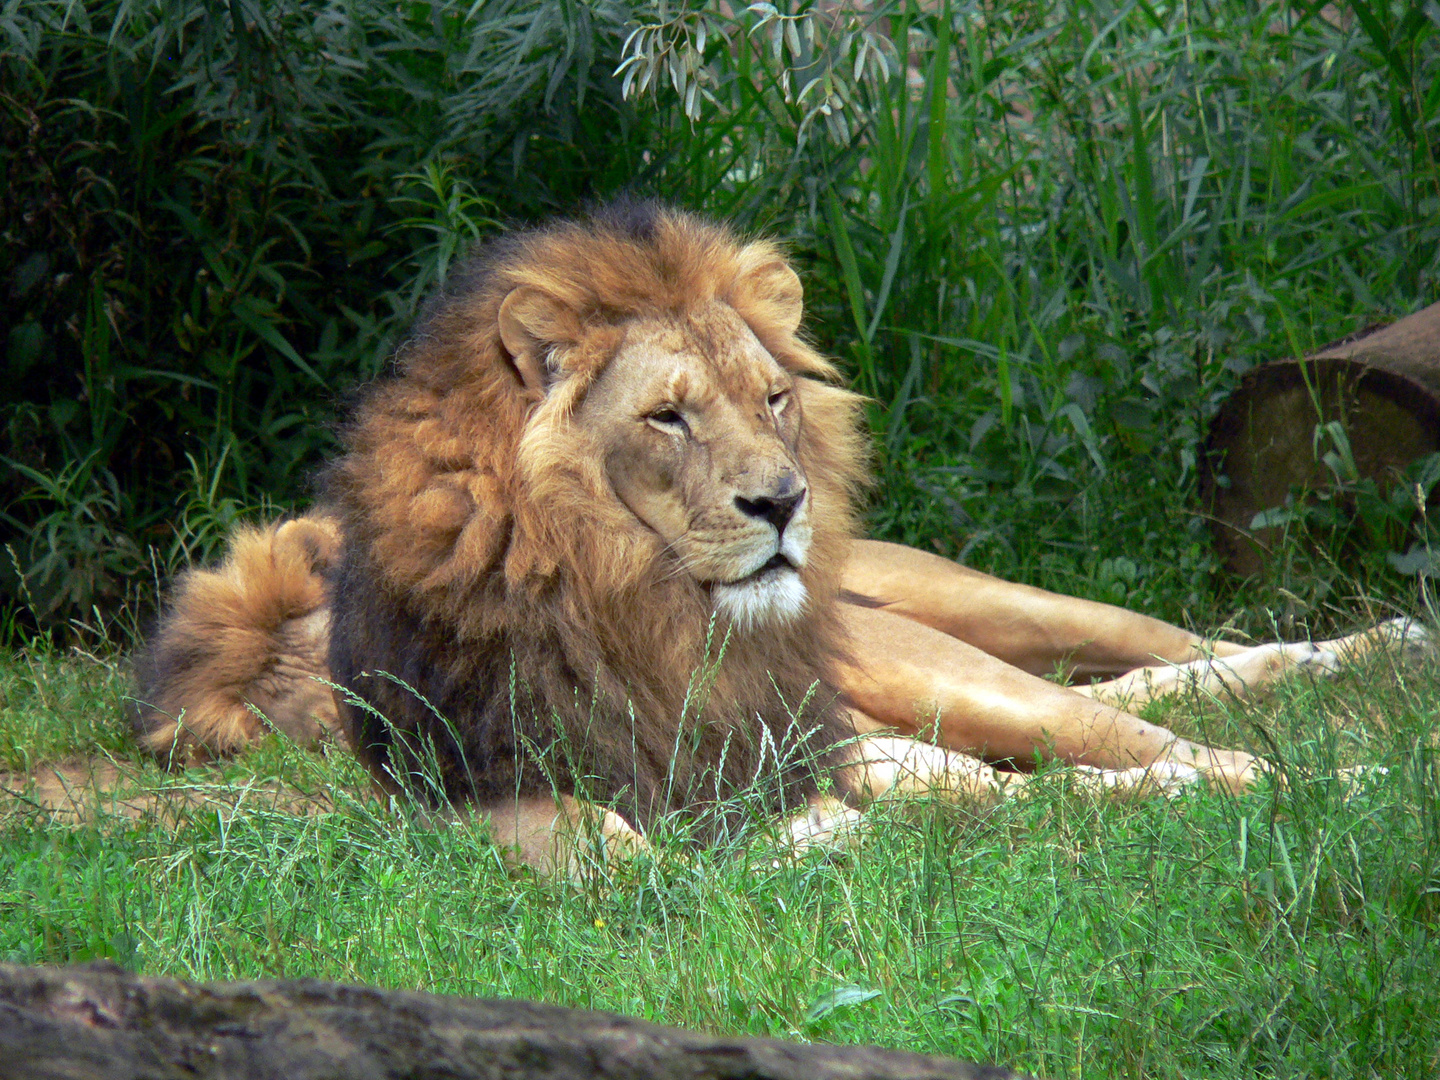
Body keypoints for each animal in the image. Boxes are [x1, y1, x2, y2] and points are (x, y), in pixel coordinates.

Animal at [129, 203, 1422, 869]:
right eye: (666, 415)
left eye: (772, 398)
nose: (785, 503)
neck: (634, 609)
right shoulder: (481, 797)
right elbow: (609, 846)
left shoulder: (836, 743)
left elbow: (1081, 784)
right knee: (1149, 697)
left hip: (950, 636)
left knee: (1172, 685)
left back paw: (1376, 699)